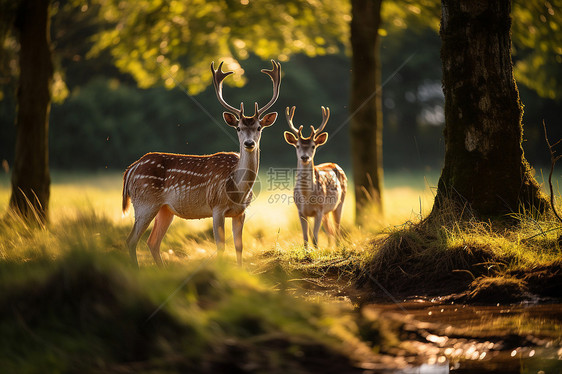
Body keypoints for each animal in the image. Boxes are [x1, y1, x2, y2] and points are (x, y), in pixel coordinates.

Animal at [122, 60, 280, 268]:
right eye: (238, 128)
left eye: (259, 127)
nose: (249, 143)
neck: (238, 191)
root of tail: (131, 168)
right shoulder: (217, 207)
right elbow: (221, 246)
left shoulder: (241, 212)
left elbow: (239, 246)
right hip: (145, 201)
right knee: (132, 240)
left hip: (165, 209)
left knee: (152, 242)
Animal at [284, 106, 346, 250]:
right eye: (297, 145)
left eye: (313, 146)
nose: (304, 157)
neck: (307, 197)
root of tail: (334, 163)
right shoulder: (300, 211)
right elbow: (305, 238)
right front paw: (307, 252)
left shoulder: (319, 210)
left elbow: (315, 239)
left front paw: (316, 252)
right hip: (326, 212)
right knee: (330, 230)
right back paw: (329, 248)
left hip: (339, 202)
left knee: (337, 229)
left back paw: (338, 248)